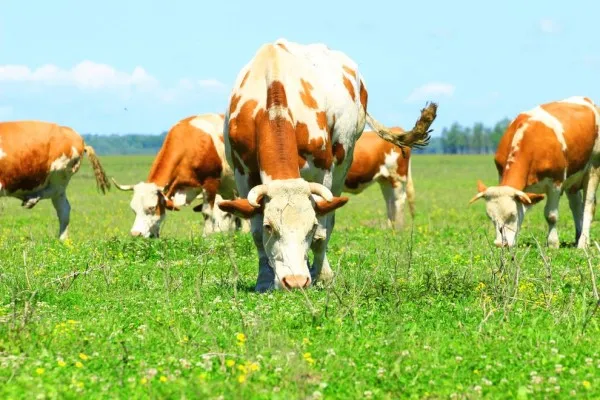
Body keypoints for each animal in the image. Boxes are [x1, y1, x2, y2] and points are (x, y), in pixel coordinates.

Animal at [110, 112, 248, 238]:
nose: (135, 233)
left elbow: (207, 212)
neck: (191, 142)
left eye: (152, 207)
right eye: (133, 209)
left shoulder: (210, 182)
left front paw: (207, 236)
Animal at [216, 39, 436, 290]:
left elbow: (321, 232)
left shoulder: (322, 172)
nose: (296, 281)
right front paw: (263, 279)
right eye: (269, 227)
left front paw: (322, 276)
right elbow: (254, 232)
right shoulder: (243, 173)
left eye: (309, 226)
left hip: (351, 166)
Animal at [468, 95, 600, 248]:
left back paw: (583, 242)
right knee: (576, 205)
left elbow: (551, 215)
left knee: (588, 206)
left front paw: (553, 243)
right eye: (490, 218)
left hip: (593, 168)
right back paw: (578, 237)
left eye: (512, 215)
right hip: (572, 179)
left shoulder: (556, 182)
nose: (501, 244)